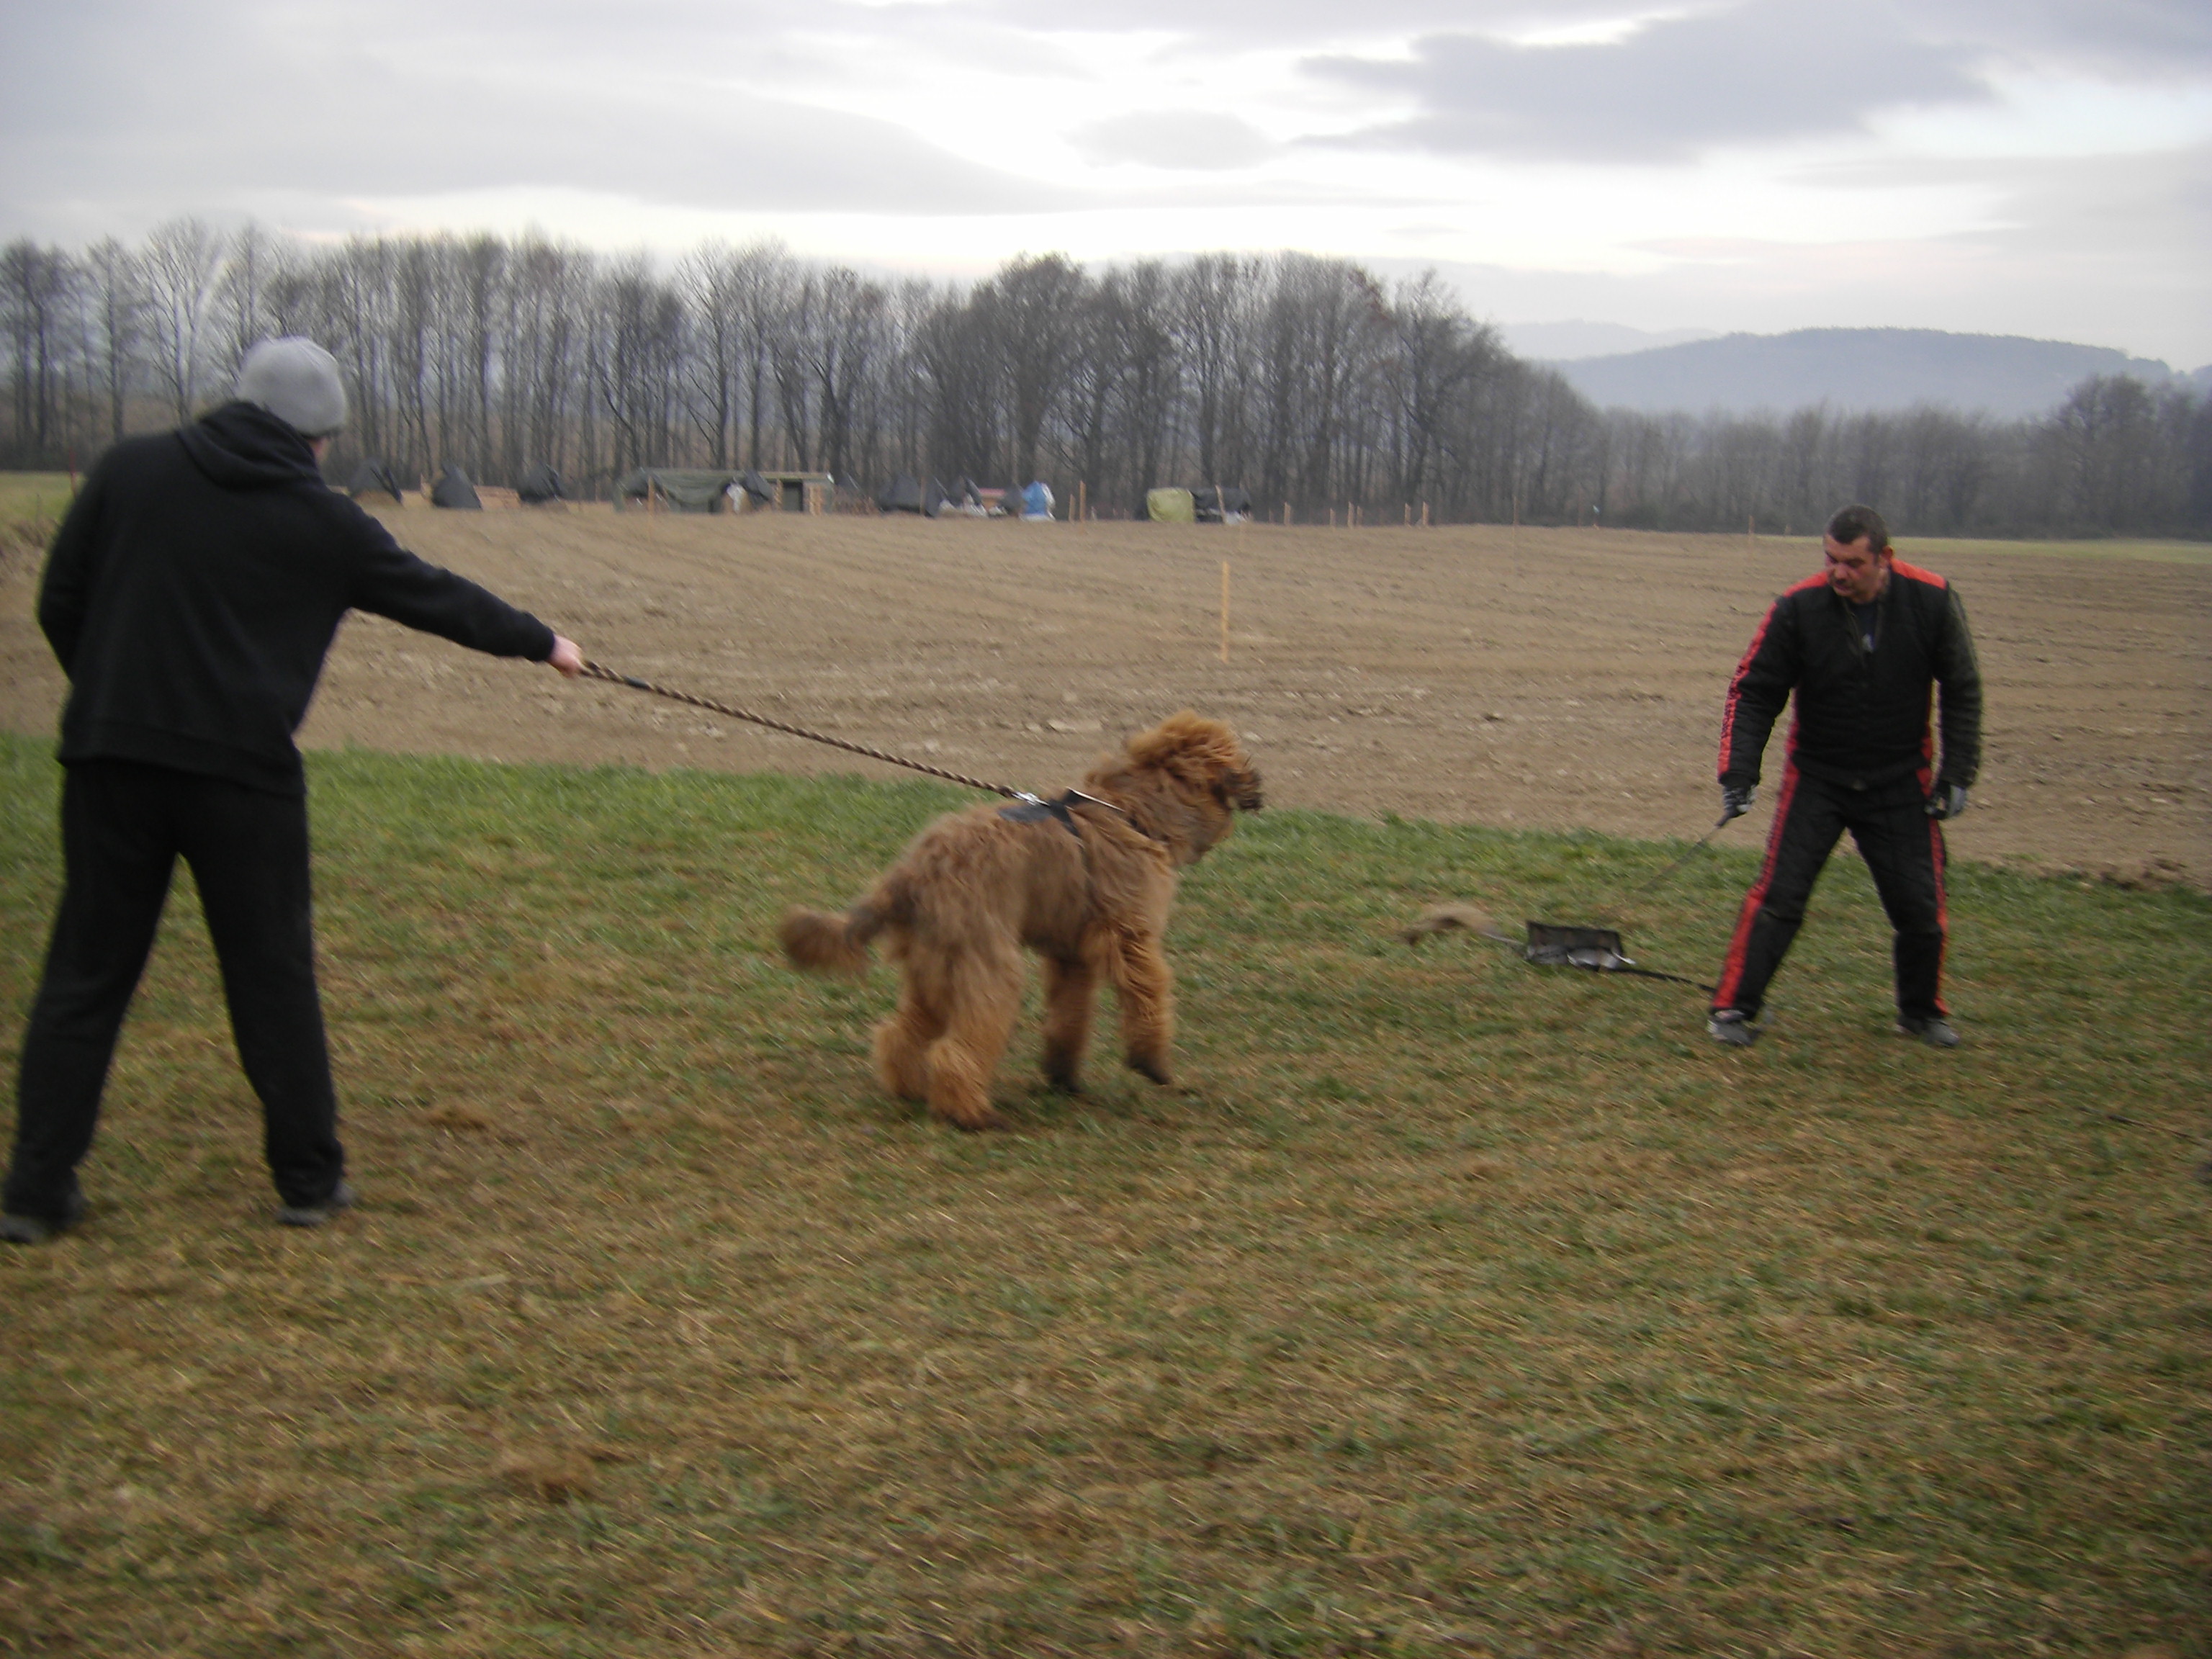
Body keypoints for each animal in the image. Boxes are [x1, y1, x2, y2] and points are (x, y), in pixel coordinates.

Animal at [783, 716, 1265, 1132]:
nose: (1257, 787)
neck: (1134, 811)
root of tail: (910, 876)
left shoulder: (1071, 956)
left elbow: (1069, 1018)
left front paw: (1063, 1076)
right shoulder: (1130, 936)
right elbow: (1149, 994)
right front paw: (1153, 1062)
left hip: (933, 969)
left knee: (901, 1034)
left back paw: (912, 1089)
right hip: (988, 967)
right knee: (957, 1049)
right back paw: (970, 1114)